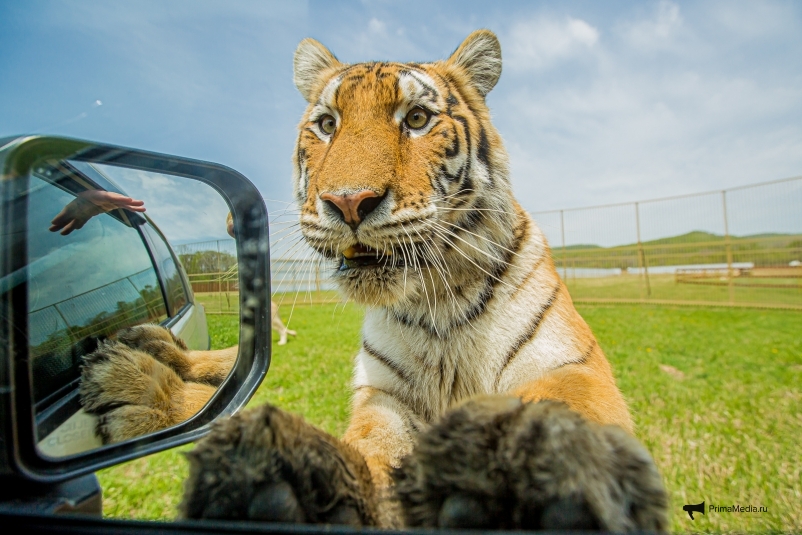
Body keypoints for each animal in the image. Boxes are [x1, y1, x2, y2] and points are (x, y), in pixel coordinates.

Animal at [81, 31, 668, 532]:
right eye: (326, 124)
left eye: (417, 118)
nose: (348, 201)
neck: (440, 298)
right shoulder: (382, 394)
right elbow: (369, 445)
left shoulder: (572, 364)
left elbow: (557, 408)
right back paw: (141, 375)